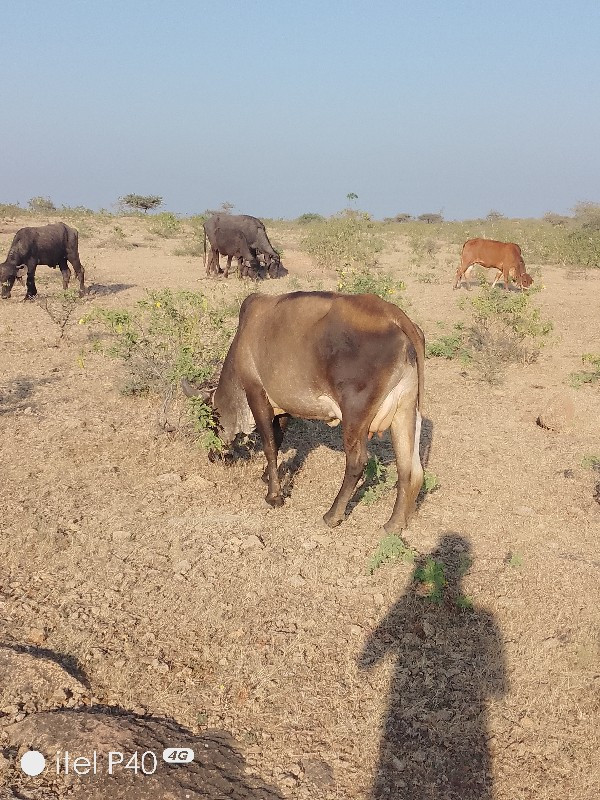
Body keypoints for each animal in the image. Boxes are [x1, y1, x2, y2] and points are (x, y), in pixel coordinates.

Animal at [183, 290, 426, 536]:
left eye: (210, 423)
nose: (213, 456)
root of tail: (394, 316)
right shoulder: (282, 405)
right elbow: (278, 438)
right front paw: (268, 476)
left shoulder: (256, 393)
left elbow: (269, 445)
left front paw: (274, 496)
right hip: (405, 410)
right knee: (409, 469)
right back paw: (394, 523)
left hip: (355, 414)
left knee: (357, 463)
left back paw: (332, 515)